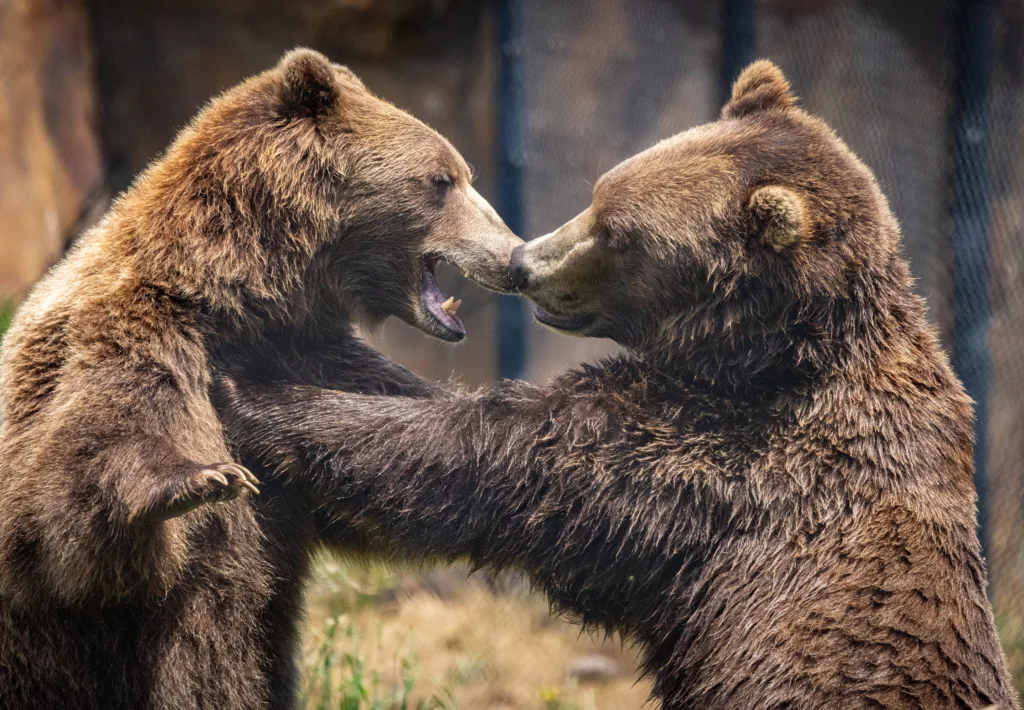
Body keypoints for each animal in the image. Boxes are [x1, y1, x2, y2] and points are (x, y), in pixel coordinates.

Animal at [0, 48, 521, 710]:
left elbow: (399, 463)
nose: (513, 255)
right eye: (442, 179)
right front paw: (200, 479)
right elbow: (72, 505)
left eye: (462, 172)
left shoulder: (318, 360)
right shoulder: (131, 339)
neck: (240, 295)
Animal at [219, 61, 1020, 710]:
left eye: (620, 233)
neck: (764, 358)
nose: (526, 263)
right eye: (601, 194)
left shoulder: (719, 462)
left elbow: (489, 454)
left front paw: (251, 395)